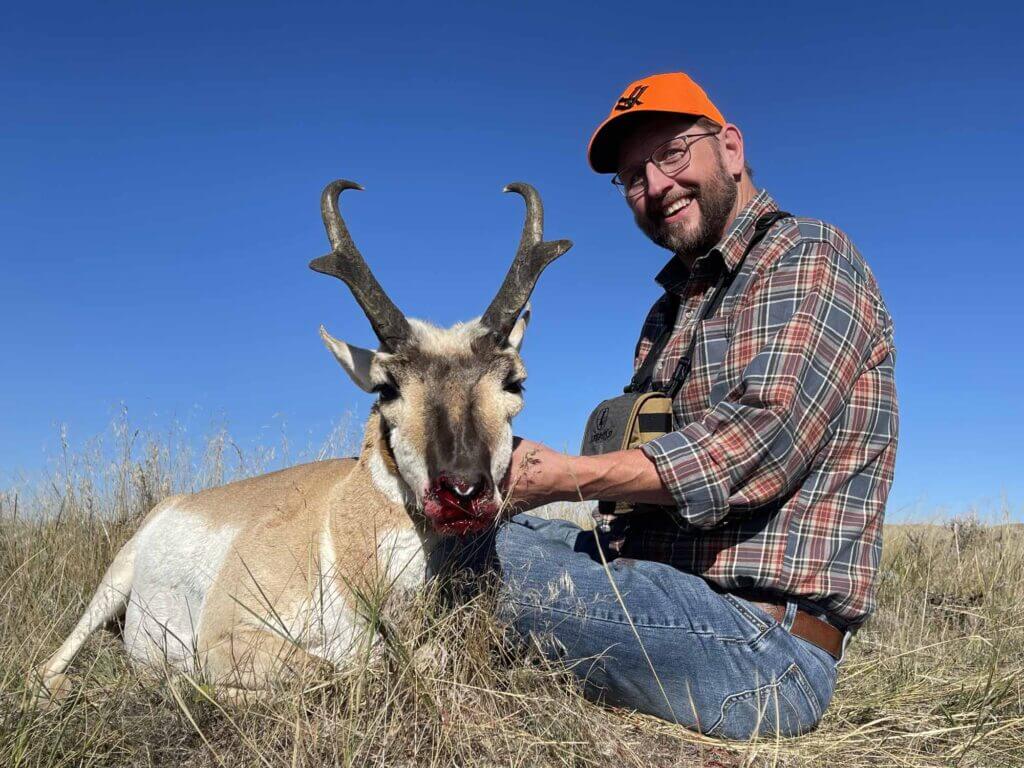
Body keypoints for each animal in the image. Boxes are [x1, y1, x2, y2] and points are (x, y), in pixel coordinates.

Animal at [34, 179, 571, 700]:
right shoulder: (223, 637)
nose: (461, 490)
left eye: (514, 383)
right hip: (111, 585)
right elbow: (338, 669)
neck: (338, 527)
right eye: (387, 388)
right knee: (48, 666)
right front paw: (181, 684)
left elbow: (410, 659)